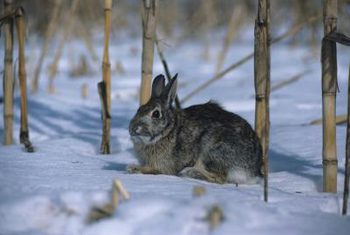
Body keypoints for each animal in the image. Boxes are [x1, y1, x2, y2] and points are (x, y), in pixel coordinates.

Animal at [129, 74, 262, 185]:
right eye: (139, 109)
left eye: (156, 114)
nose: (133, 129)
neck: (168, 130)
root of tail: (252, 170)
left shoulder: (164, 166)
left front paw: (134, 169)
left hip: (211, 152)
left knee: (220, 178)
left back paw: (190, 172)